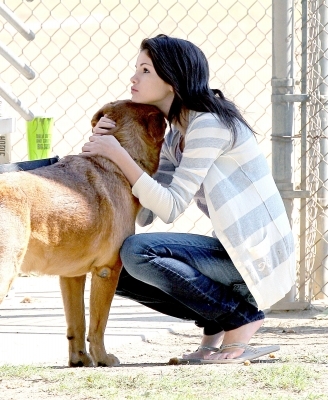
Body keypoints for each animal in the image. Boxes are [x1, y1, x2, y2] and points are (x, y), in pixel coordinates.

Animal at [0, 100, 165, 366]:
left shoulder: (71, 276)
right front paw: (103, 358)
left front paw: (80, 360)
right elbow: (98, 324)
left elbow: (77, 323)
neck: (115, 163)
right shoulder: (107, 271)